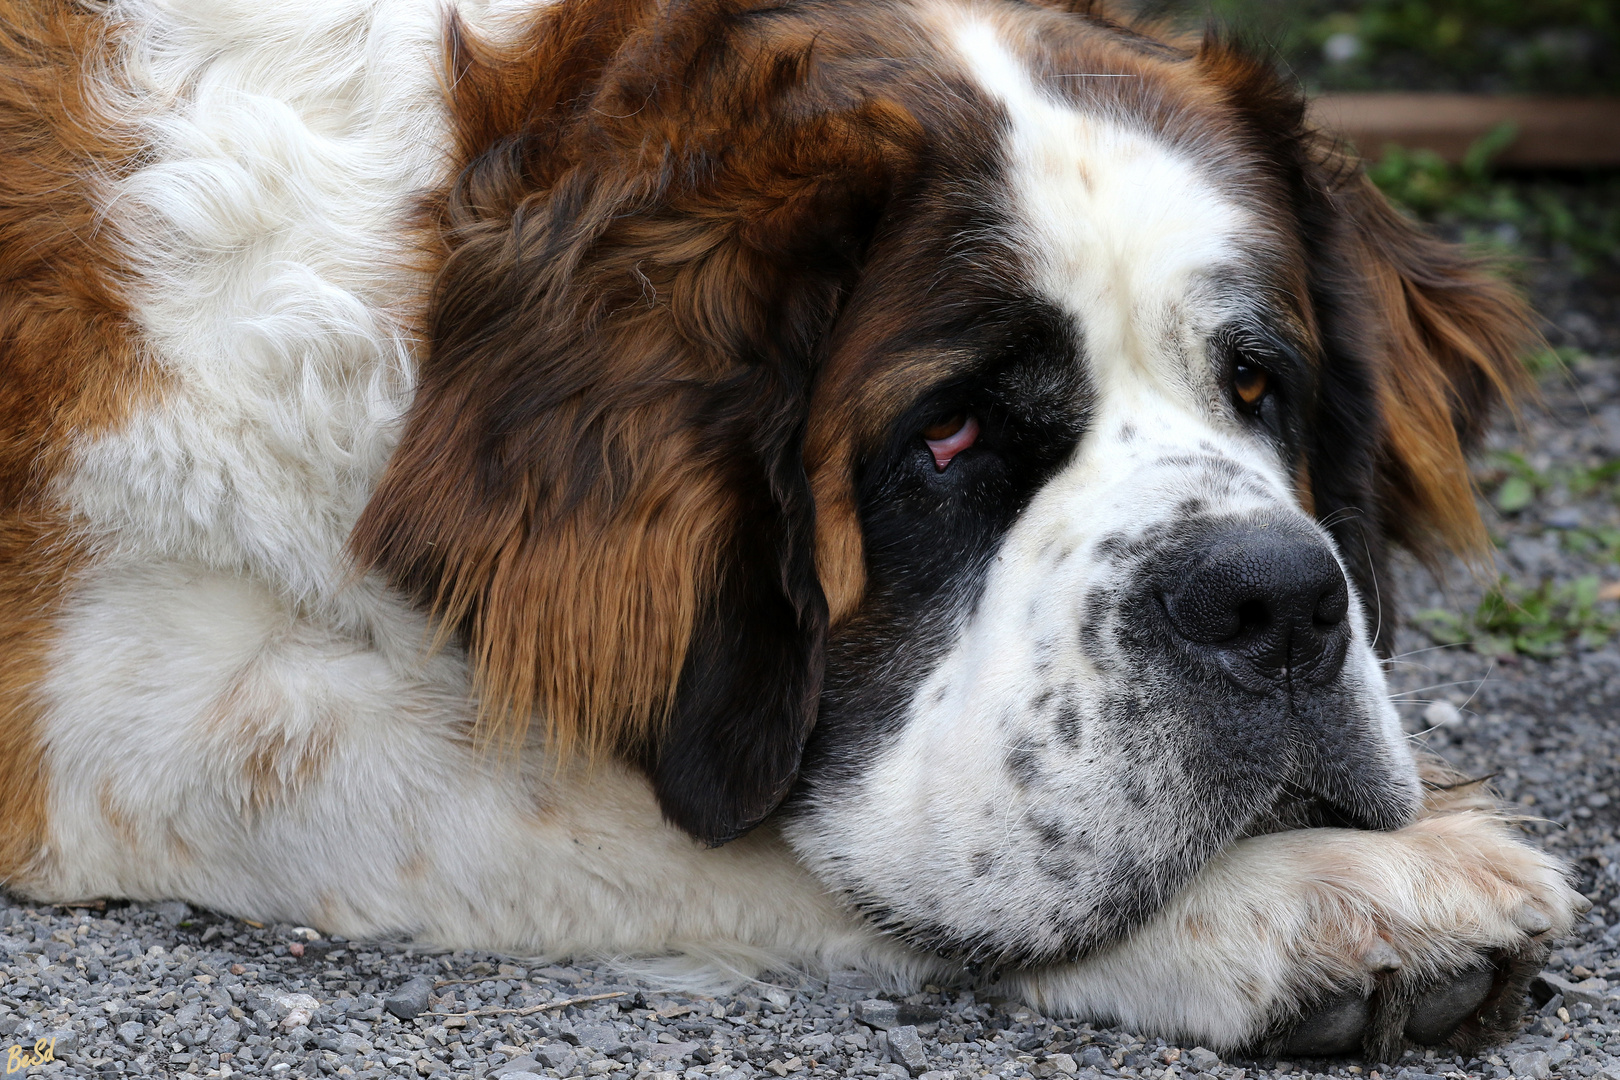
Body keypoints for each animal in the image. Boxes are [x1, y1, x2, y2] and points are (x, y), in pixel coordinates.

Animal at [0, 0, 1594, 1055]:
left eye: (1258, 384)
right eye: (947, 436)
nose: (1271, 600)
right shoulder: (123, 717)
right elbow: (663, 818)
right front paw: (1334, 893)